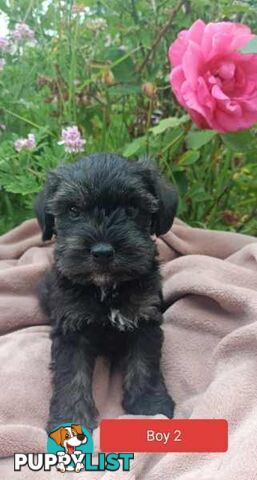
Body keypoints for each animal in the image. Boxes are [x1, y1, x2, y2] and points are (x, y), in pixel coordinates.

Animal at [35, 153, 177, 432]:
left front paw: (149, 405)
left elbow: (144, 364)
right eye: (73, 210)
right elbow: (71, 374)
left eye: (132, 209)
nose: (102, 252)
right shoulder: (71, 329)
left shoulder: (144, 320)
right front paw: (70, 419)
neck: (106, 289)